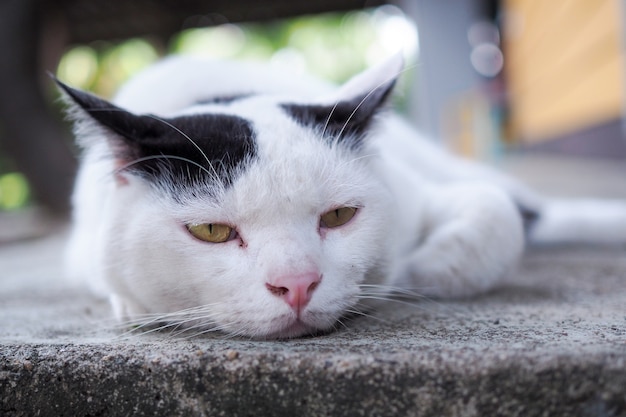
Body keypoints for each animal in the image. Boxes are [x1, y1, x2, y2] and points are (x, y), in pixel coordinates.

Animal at [58, 53, 624, 338]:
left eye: (338, 216)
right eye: (211, 230)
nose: (297, 285)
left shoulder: (413, 192)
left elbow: (496, 211)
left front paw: (423, 269)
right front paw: (132, 306)